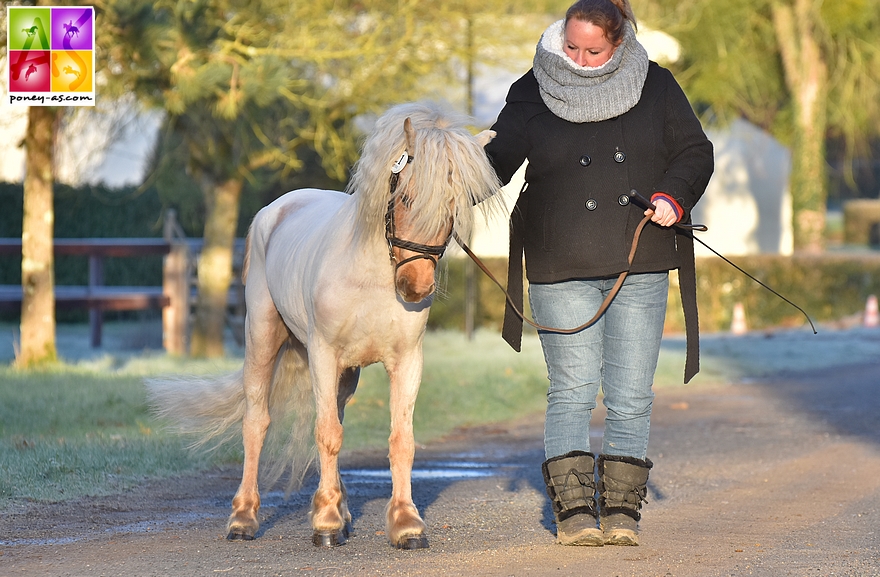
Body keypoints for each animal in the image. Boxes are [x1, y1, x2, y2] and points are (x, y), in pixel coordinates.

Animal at [150, 101, 502, 548]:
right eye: (405, 197)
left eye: (457, 206)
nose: (416, 286)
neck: (371, 277)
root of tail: (276, 209)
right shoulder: (322, 354)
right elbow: (326, 434)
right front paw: (327, 524)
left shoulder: (406, 361)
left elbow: (400, 439)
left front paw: (405, 524)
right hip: (263, 338)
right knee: (257, 421)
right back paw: (244, 518)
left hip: (345, 373)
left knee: (334, 414)